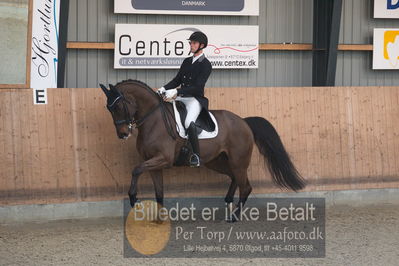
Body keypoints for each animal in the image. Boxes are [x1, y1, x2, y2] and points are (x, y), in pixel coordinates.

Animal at [100, 80, 306, 221]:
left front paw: (133, 198)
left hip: (238, 162)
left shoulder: (163, 159)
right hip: (217, 161)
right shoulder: (154, 164)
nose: (123, 134)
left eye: (118, 106)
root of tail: (244, 122)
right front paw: (159, 220)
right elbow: (158, 193)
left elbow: (135, 170)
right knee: (234, 178)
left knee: (246, 186)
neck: (154, 120)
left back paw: (234, 217)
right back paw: (228, 203)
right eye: (108, 108)